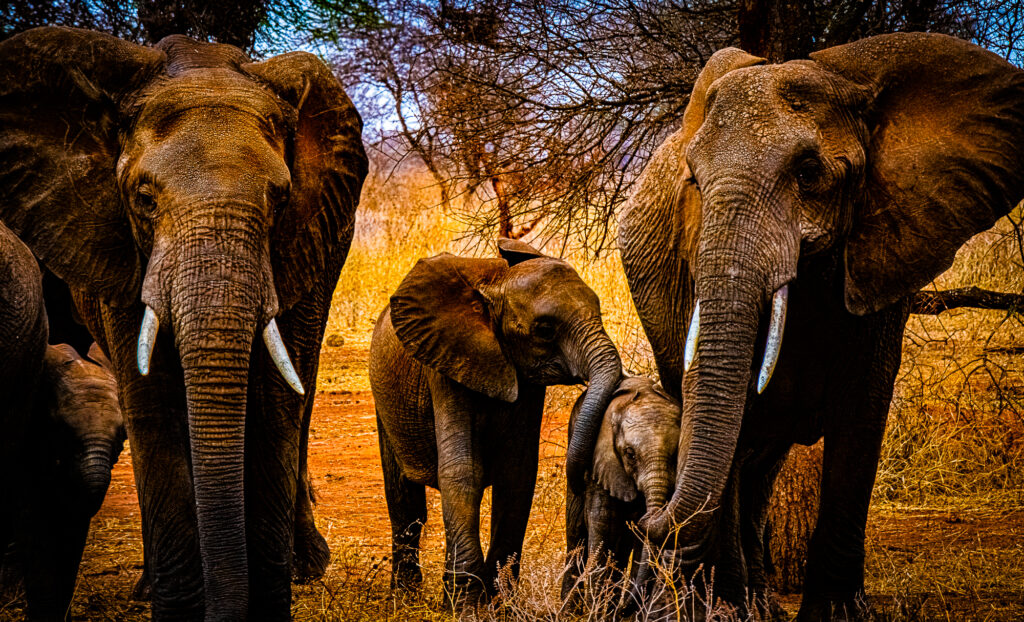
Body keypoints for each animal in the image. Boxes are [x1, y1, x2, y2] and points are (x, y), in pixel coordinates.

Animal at [0, 26, 367, 619]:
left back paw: (308, 567)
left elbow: (276, 405)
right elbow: (153, 406)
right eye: (144, 199)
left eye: (281, 199)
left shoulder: (308, 240)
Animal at [368, 238, 623, 606]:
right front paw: (465, 603)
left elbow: (517, 473)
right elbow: (462, 470)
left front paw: (500, 601)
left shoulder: (526, 380)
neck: (495, 286)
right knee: (405, 502)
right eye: (545, 330)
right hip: (384, 400)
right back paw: (404, 597)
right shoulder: (445, 363)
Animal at [561, 376, 683, 609]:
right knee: (576, 533)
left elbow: (638, 540)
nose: (624, 608)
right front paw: (596, 610)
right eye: (630, 454)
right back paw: (570, 610)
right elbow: (602, 522)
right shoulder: (599, 461)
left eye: (675, 455)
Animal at [612, 33, 1024, 620]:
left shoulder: (883, 250)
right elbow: (731, 414)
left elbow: (863, 409)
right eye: (694, 182)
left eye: (809, 174)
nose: (643, 522)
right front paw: (728, 612)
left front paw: (837, 614)